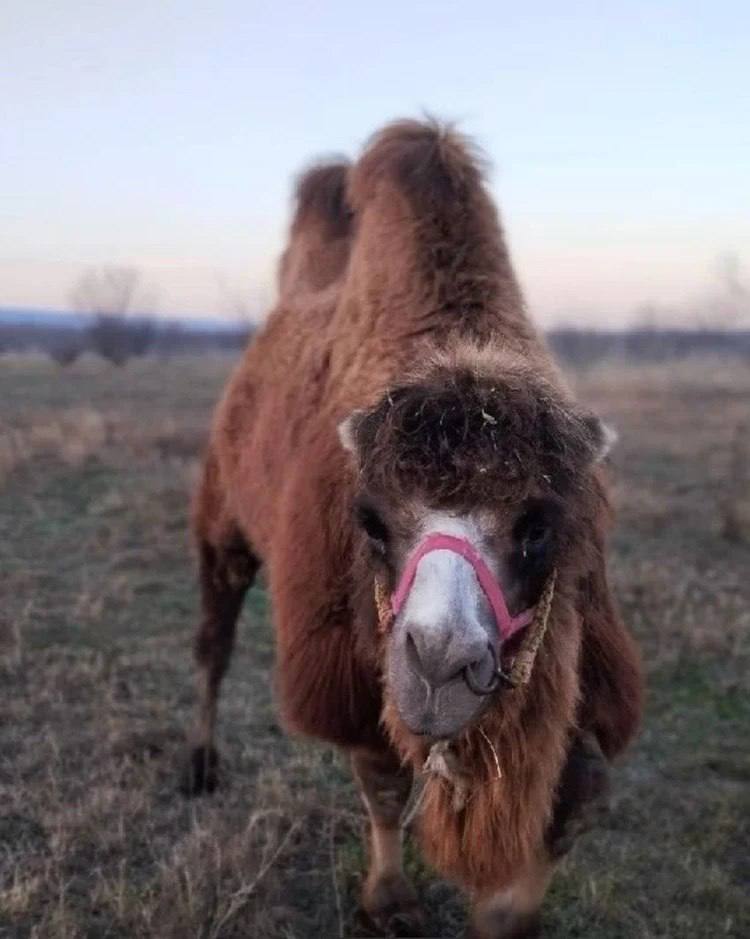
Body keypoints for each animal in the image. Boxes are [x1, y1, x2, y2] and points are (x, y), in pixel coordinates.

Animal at [184, 121, 648, 936]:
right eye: (369, 521)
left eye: (539, 526)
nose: (440, 662)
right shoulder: (347, 656)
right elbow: (382, 778)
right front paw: (389, 899)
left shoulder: (582, 630)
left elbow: (574, 794)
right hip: (223, 512)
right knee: (215, 635)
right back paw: (200, 764)